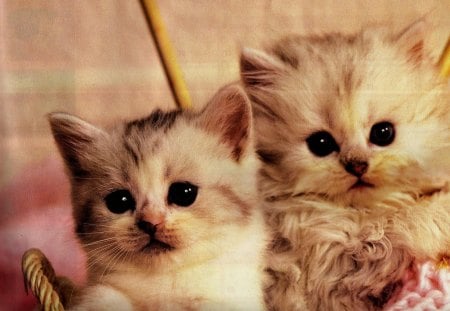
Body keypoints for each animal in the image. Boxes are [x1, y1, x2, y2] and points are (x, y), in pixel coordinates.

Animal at [48, 84, 268, 310]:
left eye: (183, 193)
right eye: (119, 201)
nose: (150, 222)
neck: (166, 280)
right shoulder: (99, 289)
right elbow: (103, 297)